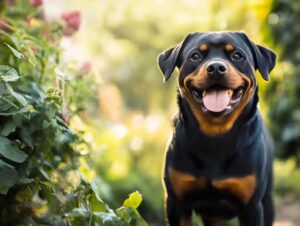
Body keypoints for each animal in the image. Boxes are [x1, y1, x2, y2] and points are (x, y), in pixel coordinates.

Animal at [158, 32, 276, 226]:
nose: (215, 67)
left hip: (267, 203)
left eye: (237, 55)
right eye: (195, 56)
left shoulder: (252, 207)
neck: (215, 136)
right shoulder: (176, 203)